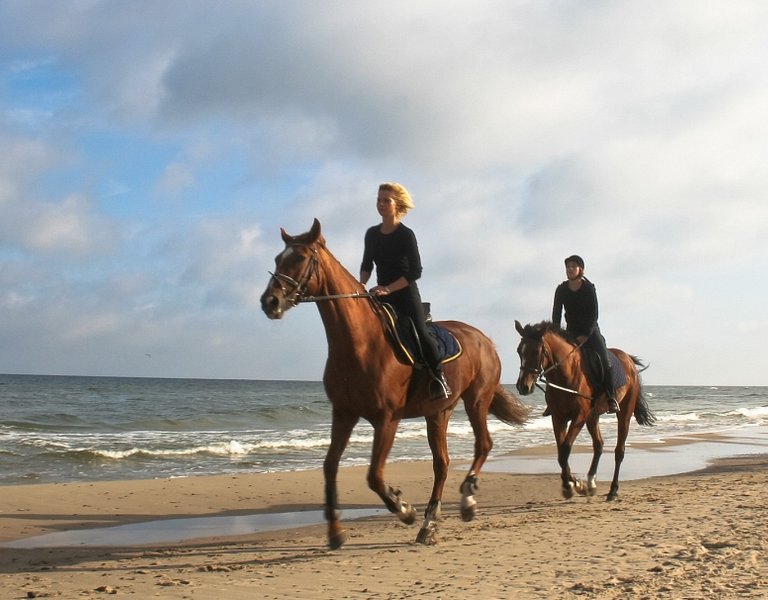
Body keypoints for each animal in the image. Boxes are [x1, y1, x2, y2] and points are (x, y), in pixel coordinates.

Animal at [258, 219, 528, 548]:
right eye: (277, 259)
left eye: (300, 257)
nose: (269, 302)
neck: (360, 343)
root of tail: (485, 339)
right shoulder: (343, 414)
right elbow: (329, 467)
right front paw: (335, 532)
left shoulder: (387, 419)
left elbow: (374, 475)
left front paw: (404, 509)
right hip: (438, 413)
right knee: (442, 464)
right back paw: (429, 524)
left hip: (476, 401)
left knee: (483, 445)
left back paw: (465, 502)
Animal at [512, 318, 652, 502]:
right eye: (519, 351)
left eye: (536, 351)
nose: (523, 387)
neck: (566, 373)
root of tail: (628, 359)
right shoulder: (558, 417)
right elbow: (561, 452)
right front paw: (575, 484)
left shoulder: (579, 416)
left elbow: (565, 449)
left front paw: (570, 485)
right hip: (593, 416)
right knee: (599, 445)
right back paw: (591, 483)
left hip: (624, 414)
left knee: (619, 450)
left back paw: (613, 490)